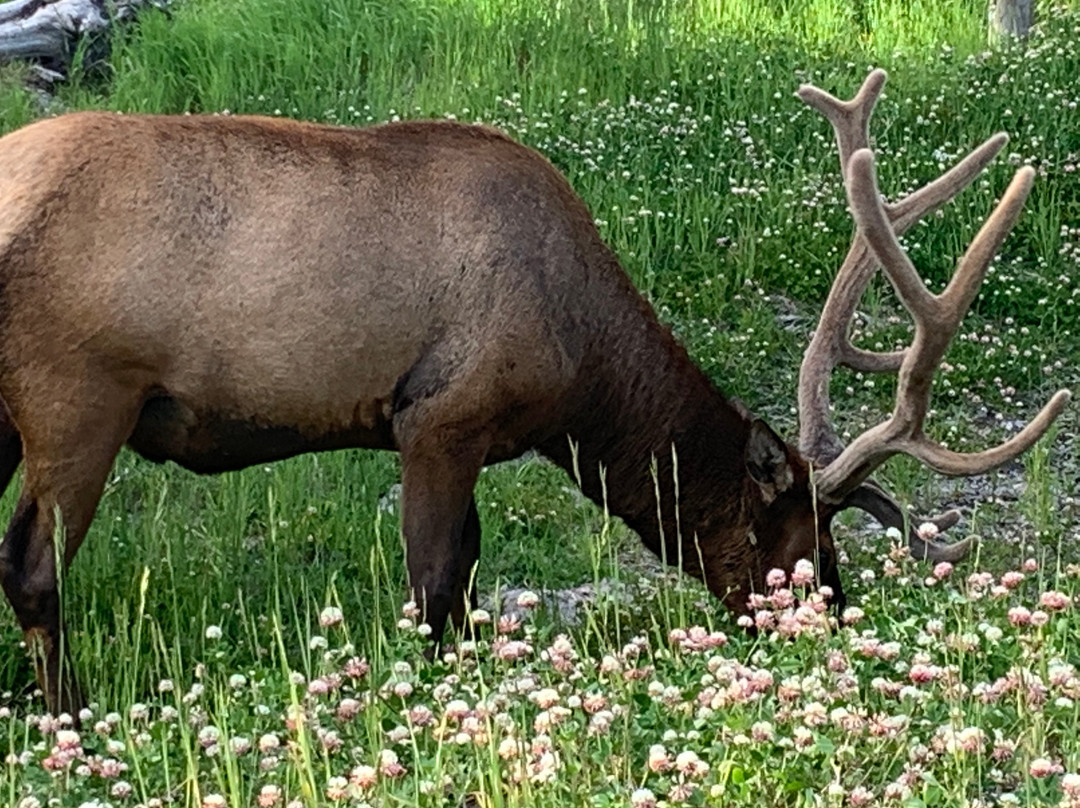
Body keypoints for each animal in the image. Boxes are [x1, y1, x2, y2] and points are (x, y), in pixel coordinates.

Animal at [0, 69, 1067, 712]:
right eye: (800, 549)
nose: (840, 624)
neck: (580, 384)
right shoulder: (438, 420)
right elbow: (432, 588)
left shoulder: (461, 436)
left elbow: (468, 581)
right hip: (78, 395)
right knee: (32, 568)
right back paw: (70, 719)